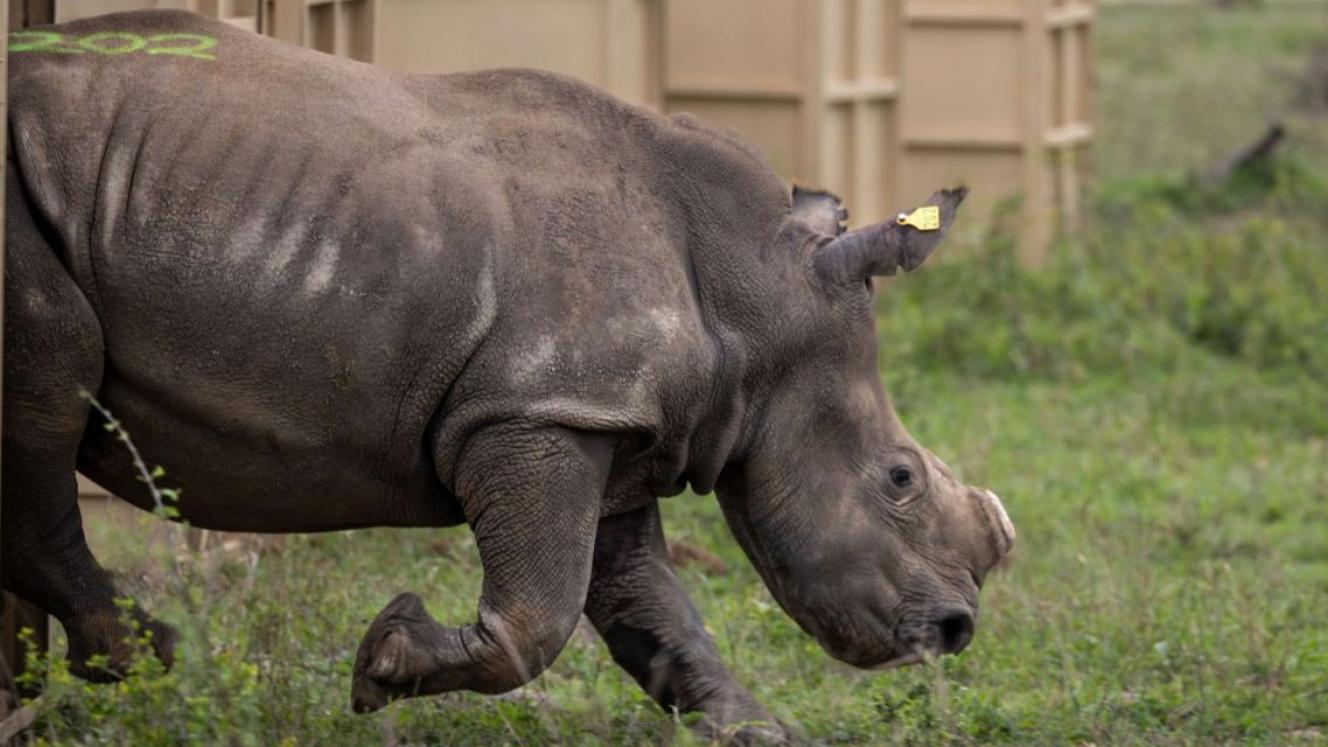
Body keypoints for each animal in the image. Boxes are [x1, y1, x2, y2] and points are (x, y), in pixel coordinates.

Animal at [4, 10, 1014, 738]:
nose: (958, 632)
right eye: (899, 478)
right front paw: (381, 662)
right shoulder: (537, 409)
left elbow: (656, 618)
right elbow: (539, 619)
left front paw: (765, 732)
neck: (755, 297)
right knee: (50, 386)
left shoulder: (612, 422)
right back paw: (145, 655)